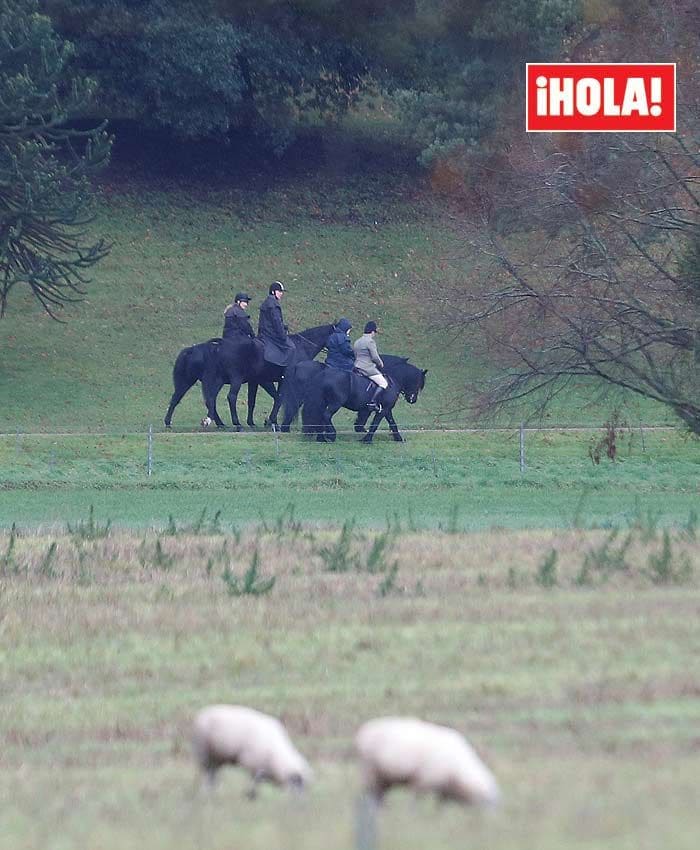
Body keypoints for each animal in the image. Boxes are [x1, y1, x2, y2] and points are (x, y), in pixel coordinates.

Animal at [280, 352, 426, 444]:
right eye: (419, 382)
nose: (413, 399)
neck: (391, 380)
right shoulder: (383, 409)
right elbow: (374, 423)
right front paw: (366, 439)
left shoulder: (385, 409)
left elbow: (392, 423)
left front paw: (398, 438)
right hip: (333, 403)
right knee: (324, 415)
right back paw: (330, 435)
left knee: (316, 416)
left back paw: (320, 438)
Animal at [356, 712, 498, 804]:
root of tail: (363, 731)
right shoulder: (423, 781)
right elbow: (415, 801)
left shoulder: (442, 788)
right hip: (370, 771)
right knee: (370, 794)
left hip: (383, 777)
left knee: (379, 795)